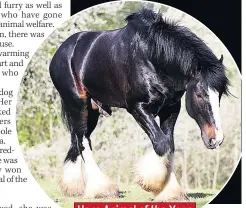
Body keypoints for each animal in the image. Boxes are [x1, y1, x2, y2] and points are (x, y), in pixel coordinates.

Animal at [49, 8, 229, 201]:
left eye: (219, 95)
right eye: (199, 94)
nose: (216, 139)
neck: (152, 58)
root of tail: (61, 52)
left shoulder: (171, 109)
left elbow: (169, 145)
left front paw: (169, 191)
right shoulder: (138, 108)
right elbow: (162, 144)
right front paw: (153, 183)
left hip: (92, 110)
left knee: (78, 139)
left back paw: (73, 187)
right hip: (77, 103)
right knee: (83, 142)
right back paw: (101, 189)